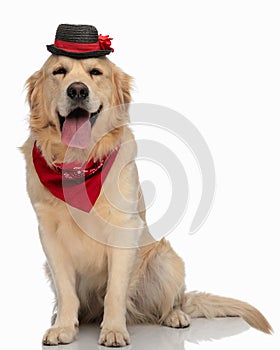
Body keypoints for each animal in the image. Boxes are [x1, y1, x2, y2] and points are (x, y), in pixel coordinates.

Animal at [21, 25, 272, 348]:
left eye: (95, 72)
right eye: (59, 71)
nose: (77, 90)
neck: (79, 160)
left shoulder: (124, 229)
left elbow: (115, 291)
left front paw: (114, 330)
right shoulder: (50, 235)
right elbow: (66, 291)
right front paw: (63, 327)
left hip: (166, 259)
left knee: (170, 302)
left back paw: (174, 315)